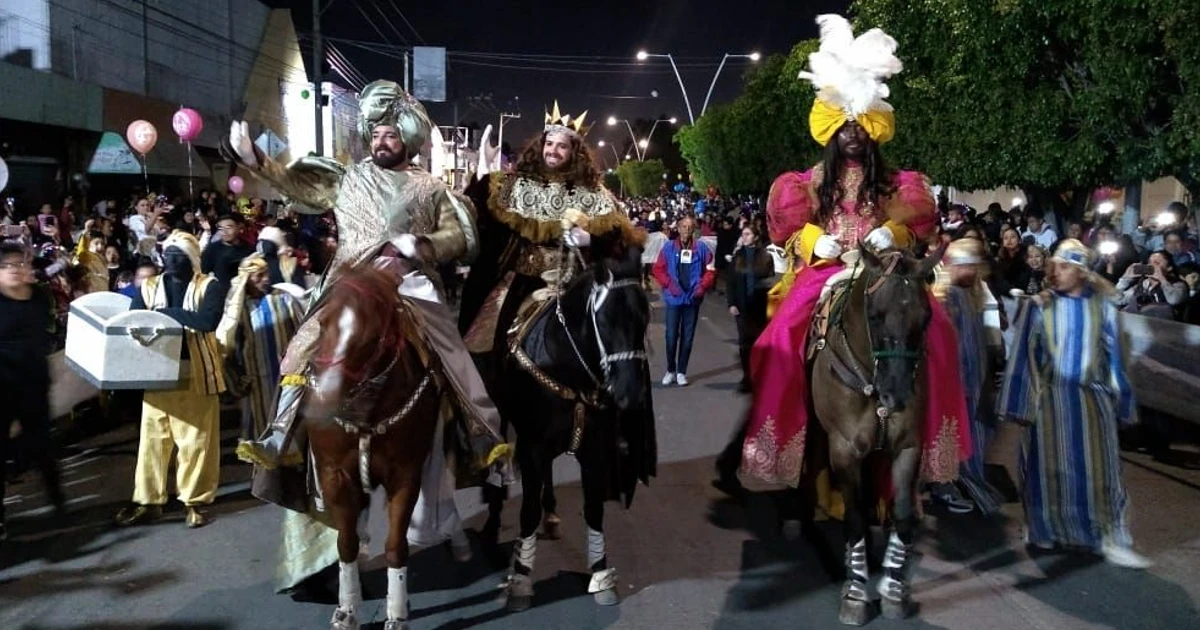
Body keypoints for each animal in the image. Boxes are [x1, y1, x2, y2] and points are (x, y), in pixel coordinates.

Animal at [300, 264, 446, 628]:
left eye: (373, 337)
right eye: (323, 323)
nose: (320, 407)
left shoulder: (405, 476)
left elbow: (396, 545)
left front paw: (396, 614)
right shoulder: (334, 475)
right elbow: (346, 542)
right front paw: (347, 610)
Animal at [480, 244, 652, 609]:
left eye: (644, 316)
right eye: (605, 320)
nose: (630, 394)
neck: (565, 365)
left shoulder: (594, 448)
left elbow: (594, 509)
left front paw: (601, 576)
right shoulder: (531, 446)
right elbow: (527, 511)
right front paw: (520, 581)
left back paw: (552, 516)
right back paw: (493, 526)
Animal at [811, 244, 940, 624]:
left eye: (925, 317)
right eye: (876, 315)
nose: (895, 395)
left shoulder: (909, 446)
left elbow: (903, 513)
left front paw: (893, 587)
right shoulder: (843, 449)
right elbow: (853, 519)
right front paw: (855, 592)